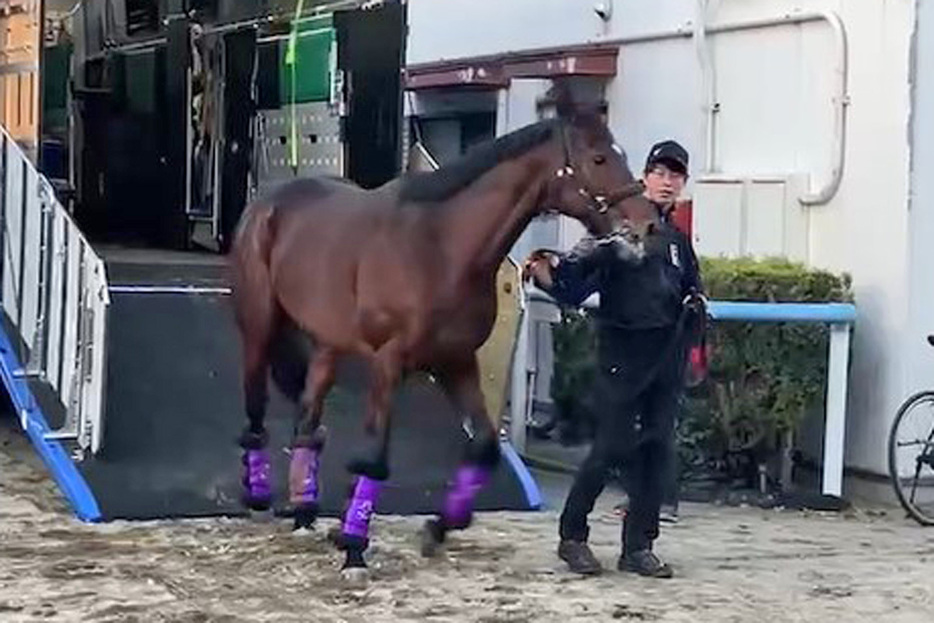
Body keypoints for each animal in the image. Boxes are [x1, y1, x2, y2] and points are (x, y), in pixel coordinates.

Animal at [230, 90, 660, 576]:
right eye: (599, 157)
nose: (646, 225)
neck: (440, 246)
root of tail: (267, 203)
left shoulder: (457, 360)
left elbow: (486, 446)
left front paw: (438, 526)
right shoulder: (389, 361)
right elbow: (376, 457)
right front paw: (354, 545)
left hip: (328, 343)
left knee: (307, 420)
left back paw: (305, 509)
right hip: (259, 327)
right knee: (255, 411)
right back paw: (259, 495)